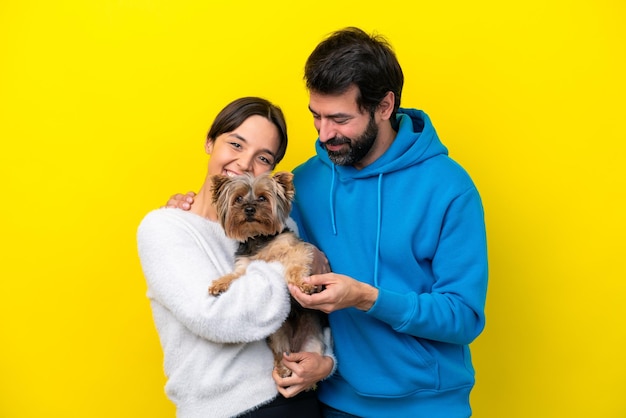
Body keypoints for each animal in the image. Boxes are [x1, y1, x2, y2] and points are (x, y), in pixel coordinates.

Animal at [210, 171, 324, 378]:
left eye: (262, 198)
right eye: (238, 199)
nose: (249, 209)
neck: (258, 237)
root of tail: (295, 346)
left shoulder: (296, 250)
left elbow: (294, 267)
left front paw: (303, 285)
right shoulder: (245, 266)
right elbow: (235, 276)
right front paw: (219, 284)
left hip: (313, 344)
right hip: (278, 336)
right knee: (280, 352)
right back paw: (283, 368)